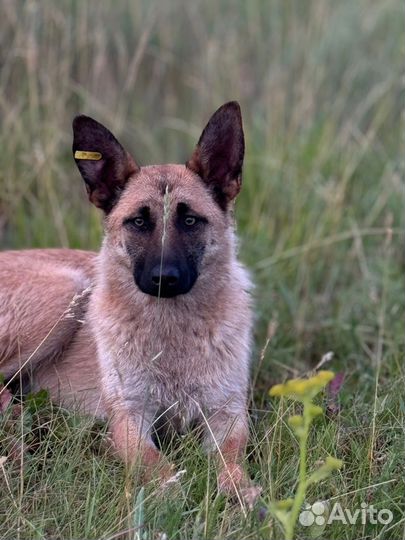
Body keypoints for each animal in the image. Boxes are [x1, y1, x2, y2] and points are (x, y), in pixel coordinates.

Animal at [0, 101, 258, 506]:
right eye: (138, 222)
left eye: (189, 220)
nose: (164, 279)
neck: (172, 333)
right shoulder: (129, 418)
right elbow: (159, 468)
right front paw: (173, 496)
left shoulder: (226, 414)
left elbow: (231, 461)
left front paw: (239, 491)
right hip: (66, 292)